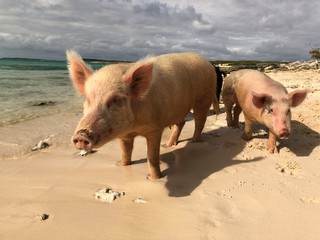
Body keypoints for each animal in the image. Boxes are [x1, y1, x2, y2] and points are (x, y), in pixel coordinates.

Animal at [66, 49, 219, 179]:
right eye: (88, 98)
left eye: (115, 99)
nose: (81, 135)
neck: (134, 128)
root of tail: (207, 63)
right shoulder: (125, 135)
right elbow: (125, 151)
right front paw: (121, 164)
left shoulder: (155, 129)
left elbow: (152, 156)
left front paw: (155, 179)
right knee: (181, 123)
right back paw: (168, 145)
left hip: (204, 98)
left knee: (200, 121)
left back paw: (194, 141)